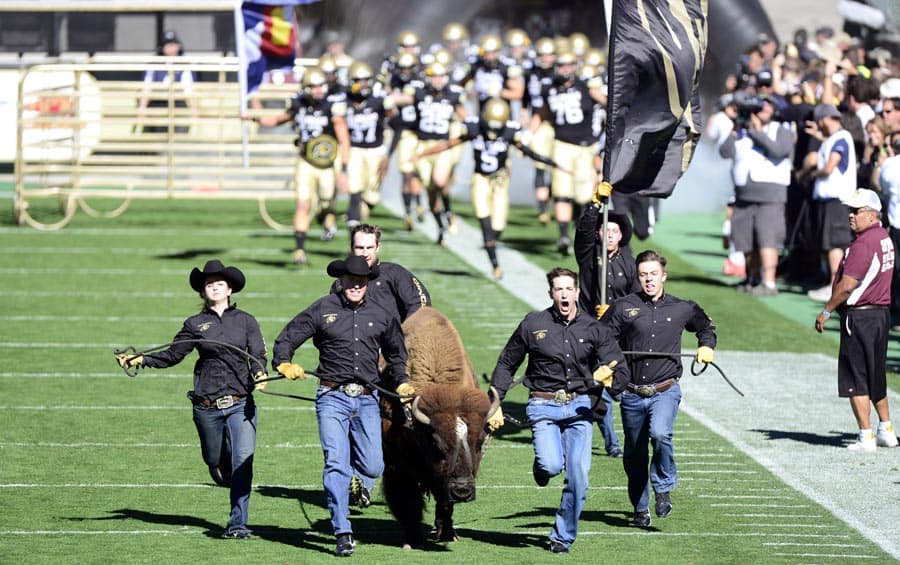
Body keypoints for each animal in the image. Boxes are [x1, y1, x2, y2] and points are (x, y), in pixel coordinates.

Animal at [380, 306, 502, 548]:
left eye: (480, 442)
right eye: (437, 444)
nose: (462, 491)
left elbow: (444, 502)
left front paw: (448, 534)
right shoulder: (397, 465)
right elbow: (408, 500)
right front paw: (412, 539)